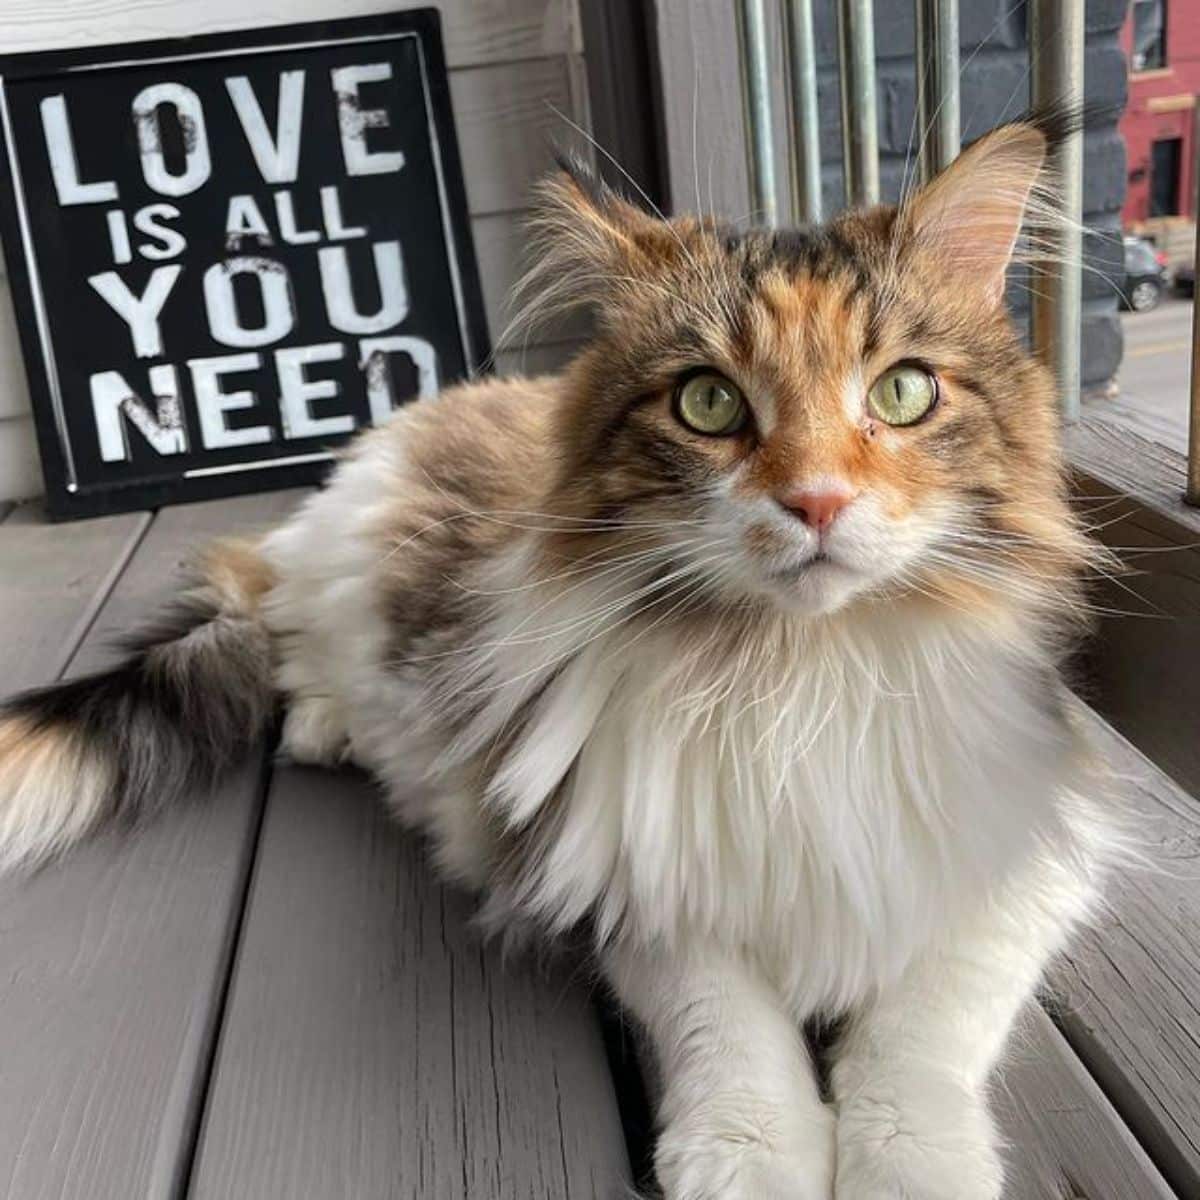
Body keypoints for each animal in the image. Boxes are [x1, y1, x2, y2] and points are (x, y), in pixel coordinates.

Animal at [2, 114, 1123, 1200]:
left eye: (901, 394)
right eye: (709, 404)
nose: (815, 501)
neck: (801, 671)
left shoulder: (1024, 857)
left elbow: (922, 1032)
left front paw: (914, 1164)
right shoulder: (620, 868)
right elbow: (732, 1028)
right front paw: (751, 1155)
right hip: (341, 586)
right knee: (286, 636)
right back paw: (322, 724)